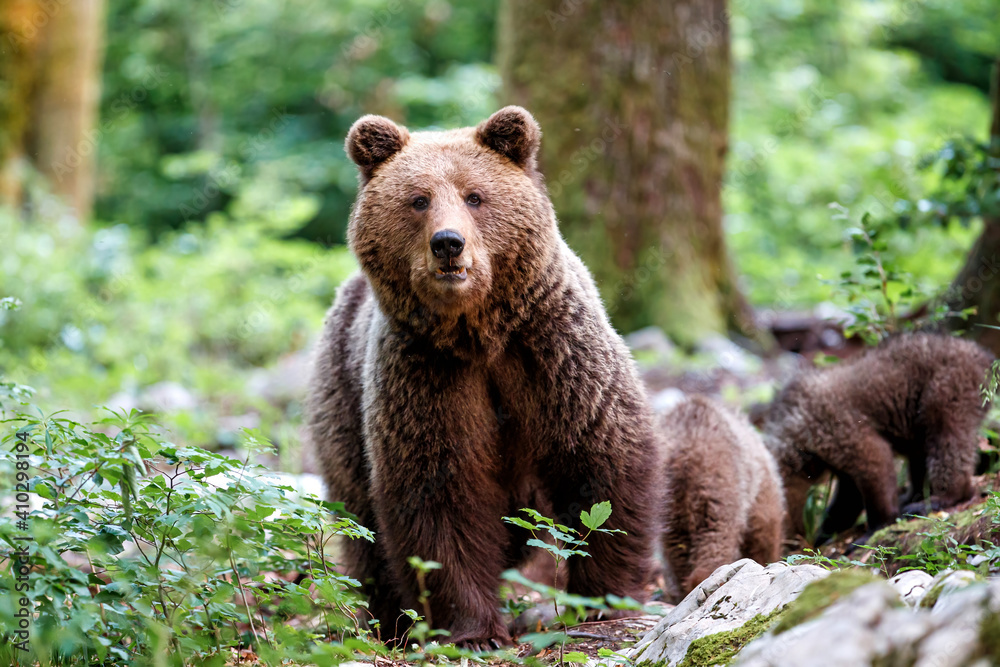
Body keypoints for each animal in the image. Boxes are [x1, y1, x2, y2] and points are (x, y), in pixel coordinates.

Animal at [305, 106, 661, 649]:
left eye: (475, 195)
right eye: (418, 200)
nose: (448, 243)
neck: (478, 332)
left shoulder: (554, 353)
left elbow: (602, 465)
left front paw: (605, 601)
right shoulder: (428, 375)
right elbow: (440, 494)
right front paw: (475, 631)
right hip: (341, 400)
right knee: (364, 527)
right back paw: (391, 624)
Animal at [759, 332, 993, 542]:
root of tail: (984, 356)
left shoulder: (838, 430)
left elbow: (875, 464)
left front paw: (874, 529)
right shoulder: (837, 460)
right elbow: (847, 498)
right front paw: (824, 533)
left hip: (946, 393)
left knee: (947, 441)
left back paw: (939, 498)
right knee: (920, 454)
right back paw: (912, 496)